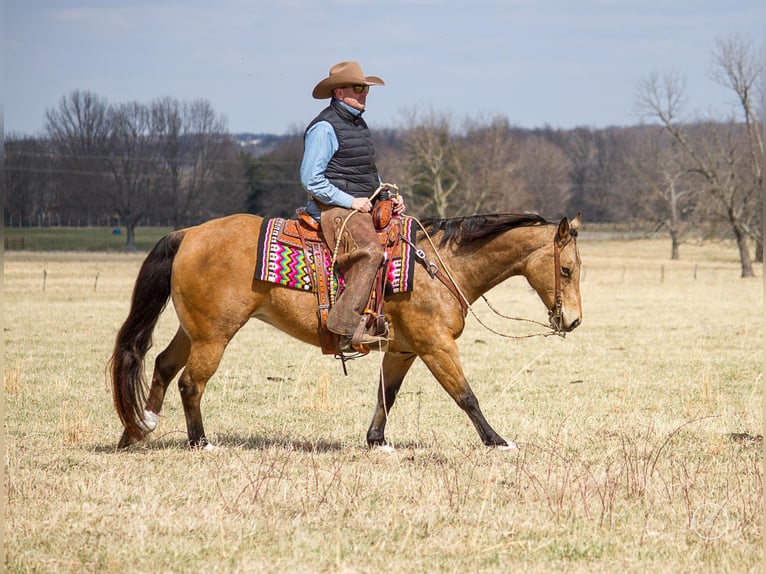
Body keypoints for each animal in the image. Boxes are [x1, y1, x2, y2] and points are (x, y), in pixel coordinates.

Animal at [111, 212, 584, 450]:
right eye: (566, 269)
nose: (574, 321)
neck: (437, 266)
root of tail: (189, 233)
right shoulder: (435, 345)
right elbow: (465, 395)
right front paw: (497, 441)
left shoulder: (404, 349)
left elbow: (386, 395)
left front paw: (376, 440)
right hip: (215, 334)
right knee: (191, 382)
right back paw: (200, 442)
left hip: (193, 329)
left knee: (162, 365)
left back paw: (138, 430)